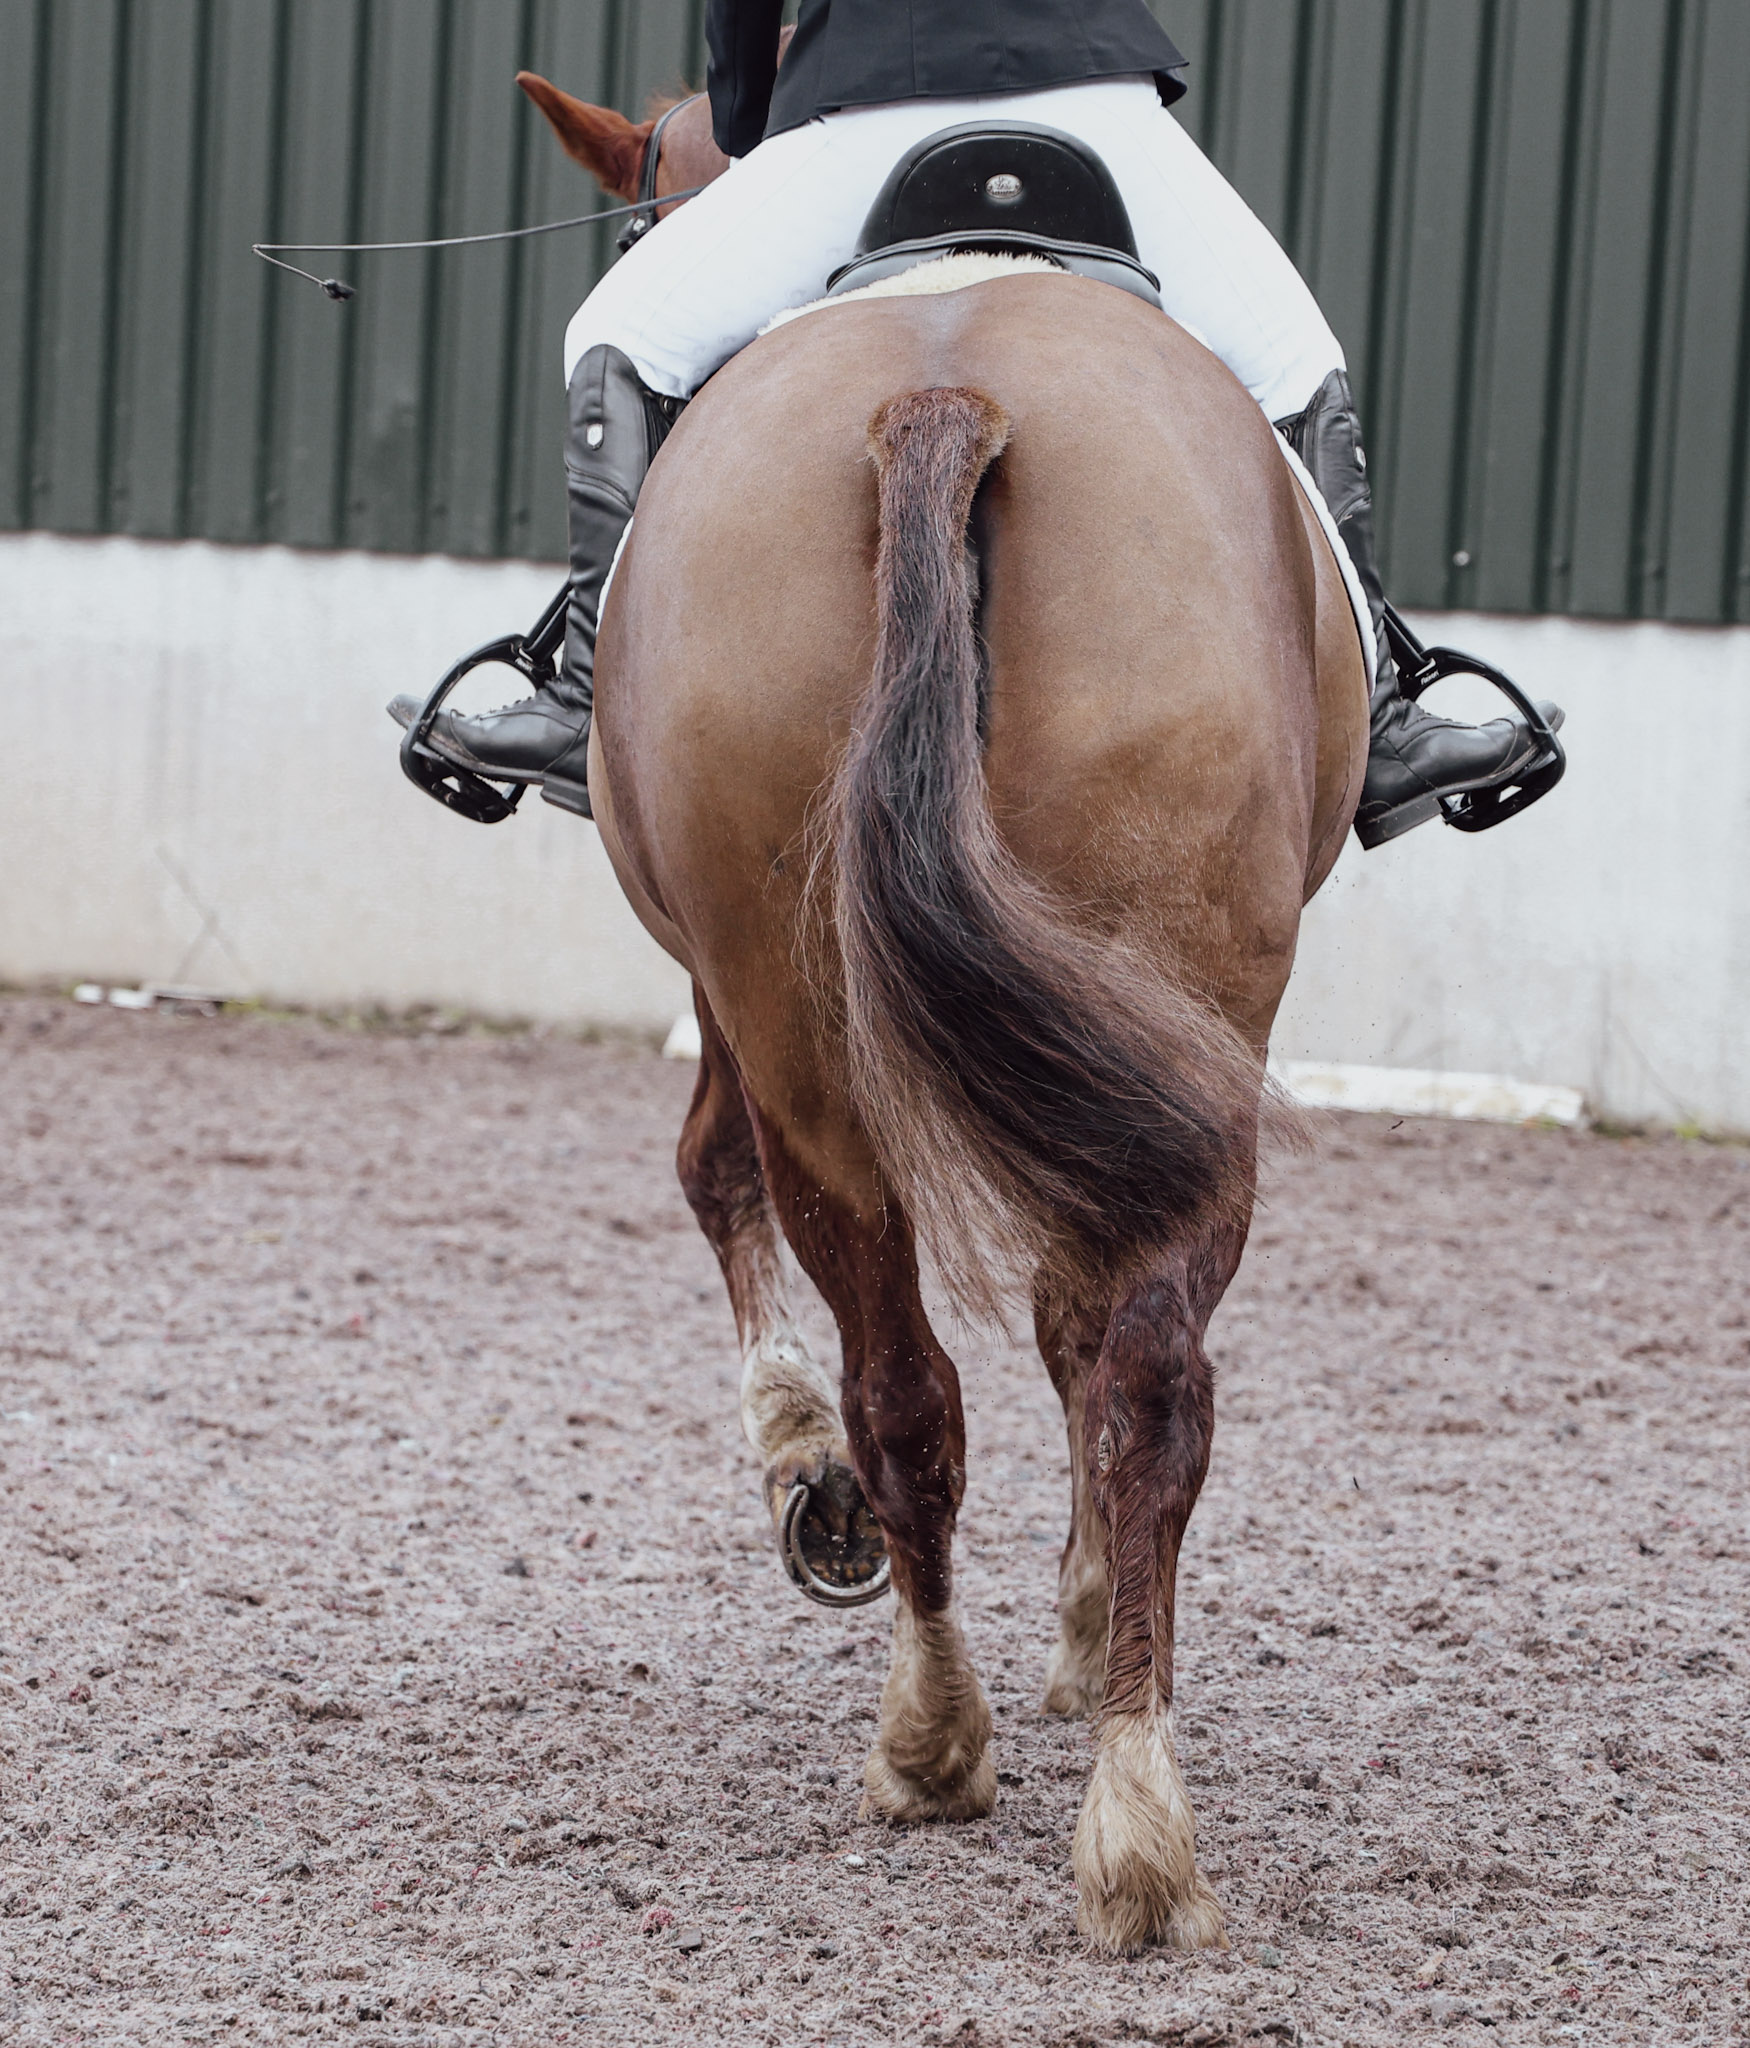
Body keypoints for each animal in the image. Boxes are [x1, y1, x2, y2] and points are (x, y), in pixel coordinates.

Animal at [516, 72, 1367, 1952]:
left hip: (818, 1018)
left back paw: (937, 1736)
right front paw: (1077, 1614)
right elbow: (1059, 1315)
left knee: (922, 1375)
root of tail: (943, 394)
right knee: (1129, 1373)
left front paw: (799, 1475)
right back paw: (1130, 1807)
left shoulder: (729, 995)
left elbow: (710, 1173)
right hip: (1177, 1005)